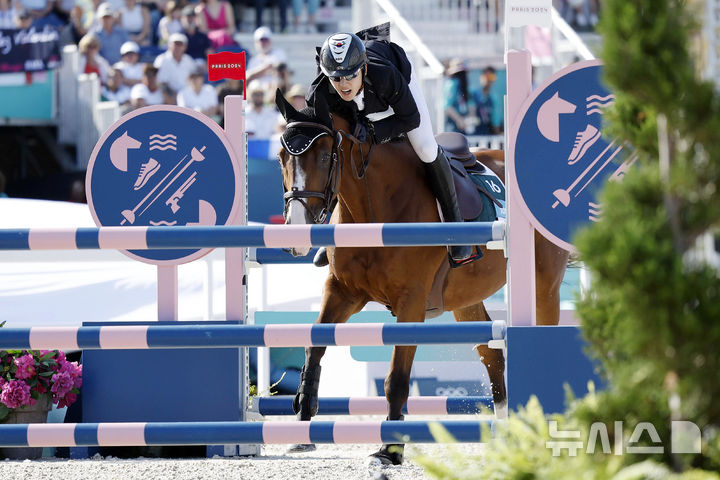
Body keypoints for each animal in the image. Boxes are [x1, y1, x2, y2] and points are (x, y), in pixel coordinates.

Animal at [274, 91, 568, 464]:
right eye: (282, 157)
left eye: (326, 156)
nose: (296, 236)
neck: (374, 206)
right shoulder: (343, 292)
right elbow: (314, 347)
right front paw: (302, 424)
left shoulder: (410, 303)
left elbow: (397, 377)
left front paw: (389, 450)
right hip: (466, 299)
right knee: (492, 355)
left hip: (543, 287)